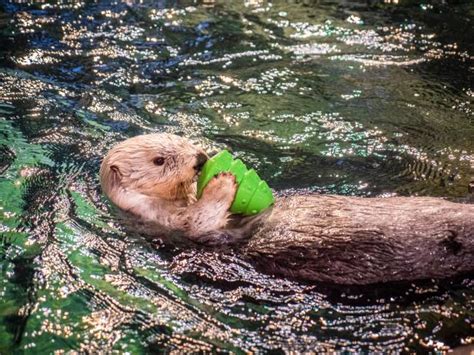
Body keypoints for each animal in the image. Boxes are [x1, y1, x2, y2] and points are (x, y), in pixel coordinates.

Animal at [100, 134, 474, 286]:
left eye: (182, 142)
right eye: (159, 160)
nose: (201, 159)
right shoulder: (166, 221)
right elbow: (199, 220)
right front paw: (223, 179)